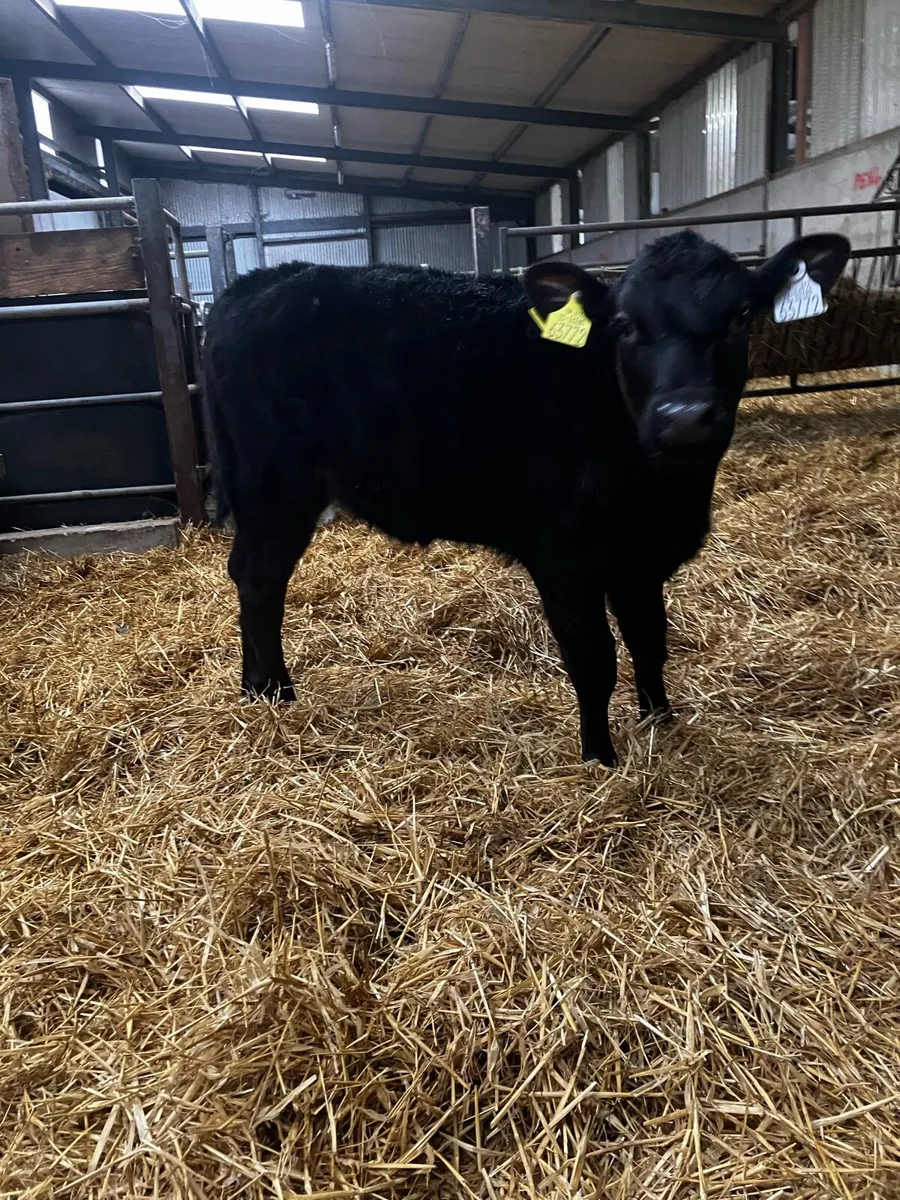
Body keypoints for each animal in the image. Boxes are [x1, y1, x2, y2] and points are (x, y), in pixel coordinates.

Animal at [203, 230, 850, 766]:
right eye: (624, 325)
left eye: (742, 316)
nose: (685, 418)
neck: (661, 494)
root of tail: (260, 281)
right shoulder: (564, 559)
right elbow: (594, 659)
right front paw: (600, 758)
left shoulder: (639, 561)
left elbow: (650, 640)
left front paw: (660, 722)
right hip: (274, 485)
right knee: (261, 579)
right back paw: (277, 691)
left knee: (249, 575)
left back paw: (253, 687)